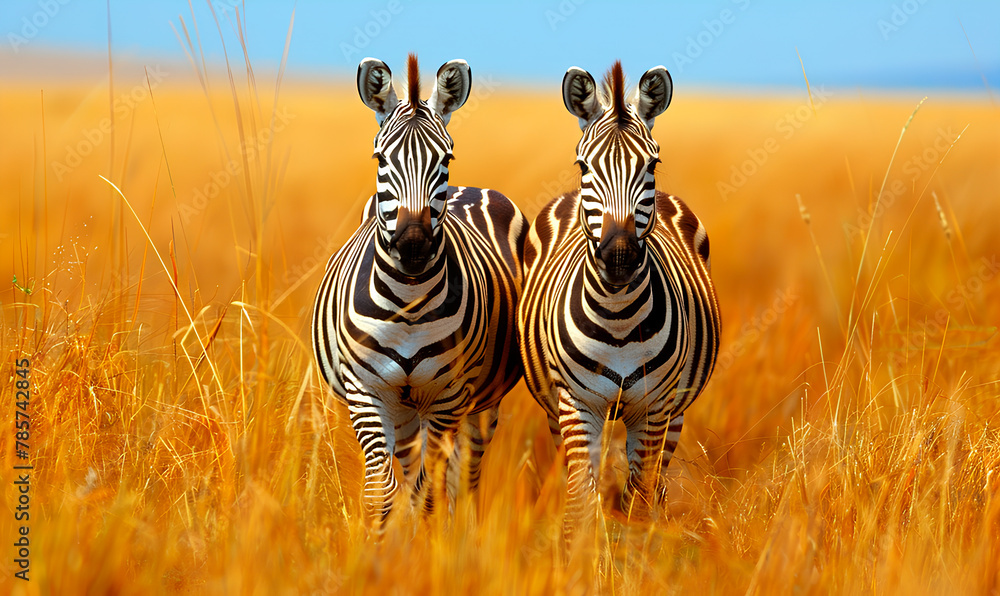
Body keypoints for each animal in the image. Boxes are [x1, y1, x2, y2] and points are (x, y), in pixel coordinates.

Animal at [312, 54, 527, 527]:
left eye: (446, 157)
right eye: (380, 159)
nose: (413, 245)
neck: (408, 306)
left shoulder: (447, 397)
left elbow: (431, 492)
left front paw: (428, 543)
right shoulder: (367, 393)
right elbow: (383, 491)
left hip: (477, 403)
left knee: (463, 477)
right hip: (404, 409)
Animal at [518, 61, 720, 529]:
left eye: (652, 162)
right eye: (583, 165)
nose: (620, 256)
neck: (618, 316)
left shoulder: (653, 408)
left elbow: (637, 502)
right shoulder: (576, 404)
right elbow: (581, 505)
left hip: (676, 411)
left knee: (654, 486)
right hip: (557, 409)